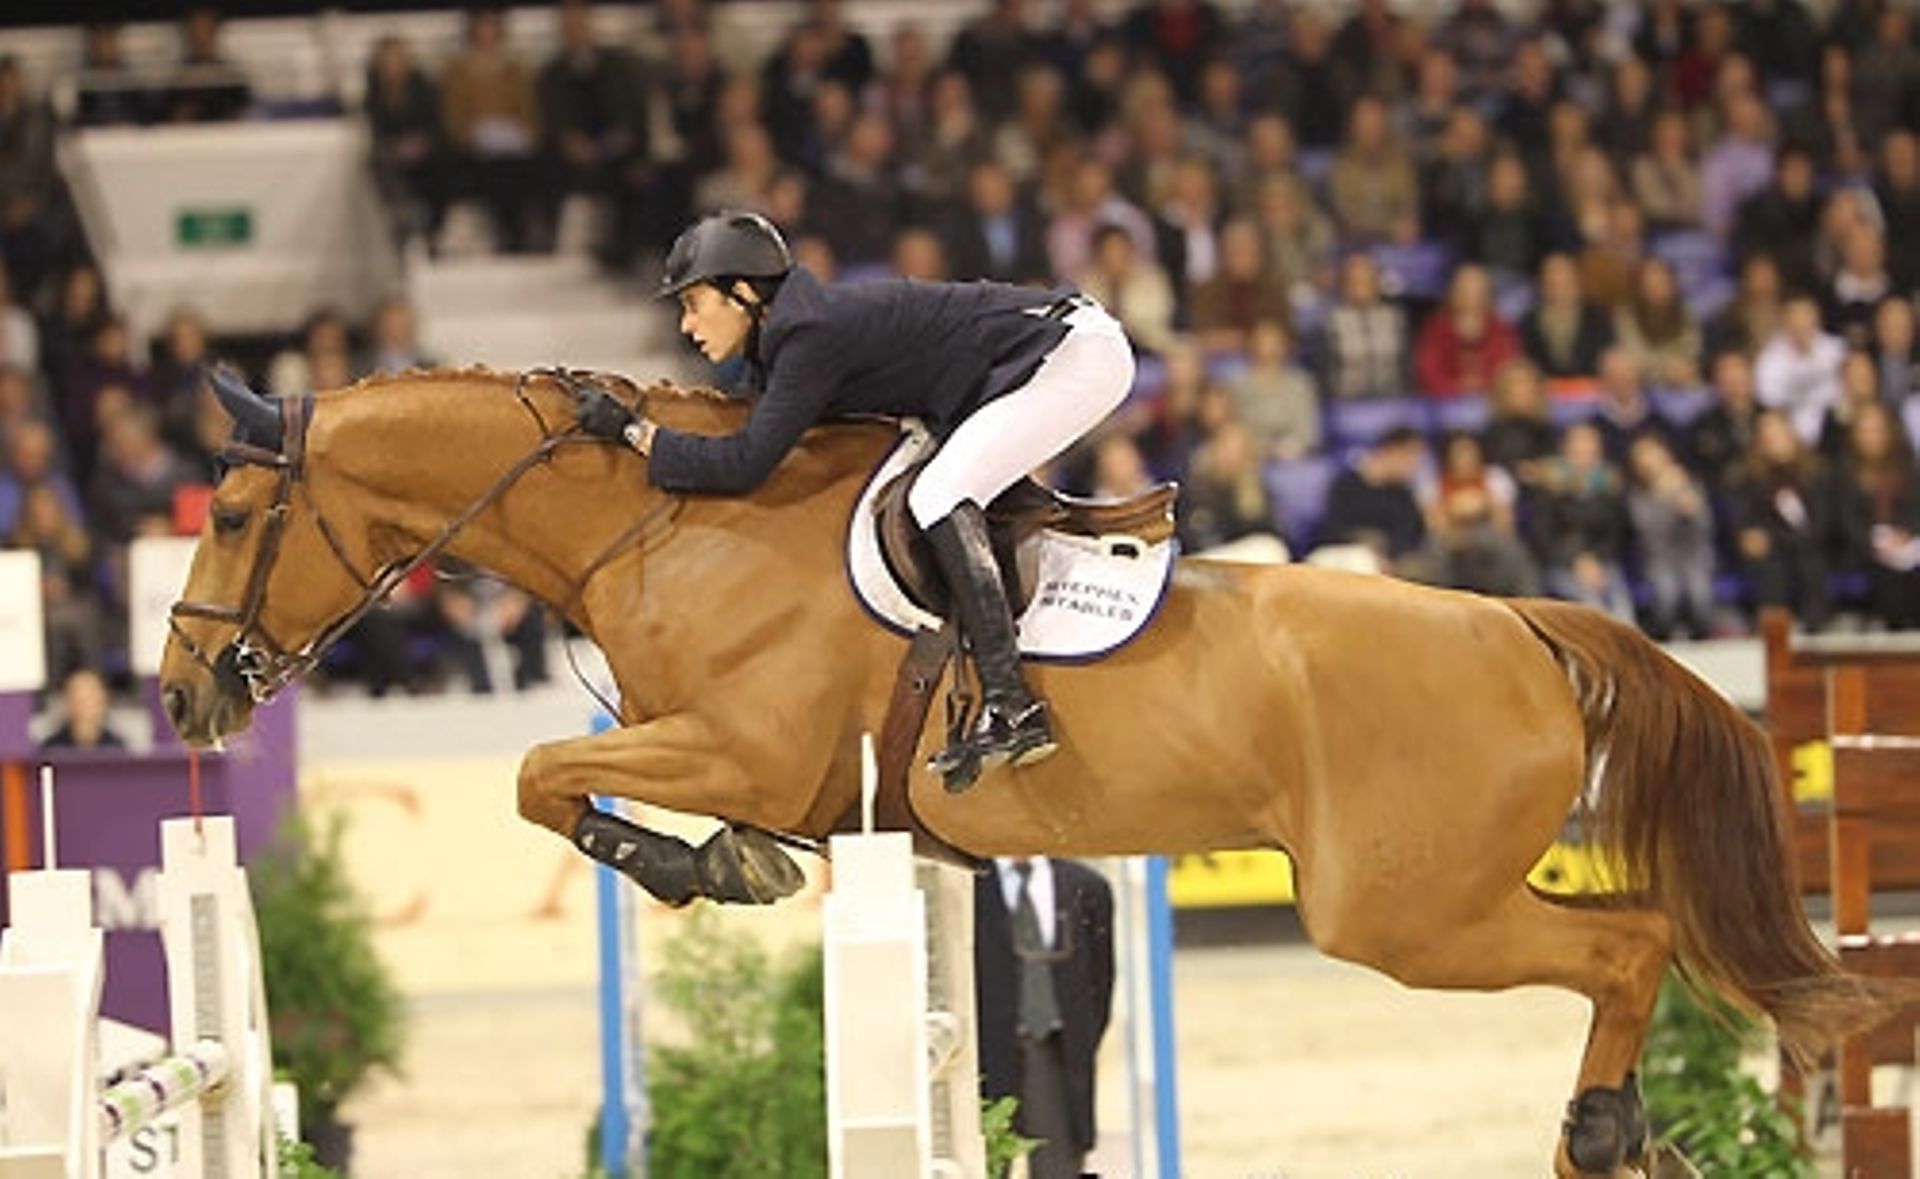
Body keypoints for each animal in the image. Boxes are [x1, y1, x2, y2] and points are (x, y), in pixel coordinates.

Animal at [159, 366, 1893, 1177]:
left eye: (234, 516)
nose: (180, 688)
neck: (662, 517)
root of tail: (1527, 621)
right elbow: (557, 772)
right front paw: (724, 860)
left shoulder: (741, 743)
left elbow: (542, 769)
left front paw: (704, 862)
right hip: (1434, 894)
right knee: (1632, 944)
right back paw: (1633, 1129)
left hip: (1401, 911)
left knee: (1632, 942)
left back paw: (1602, 1129)